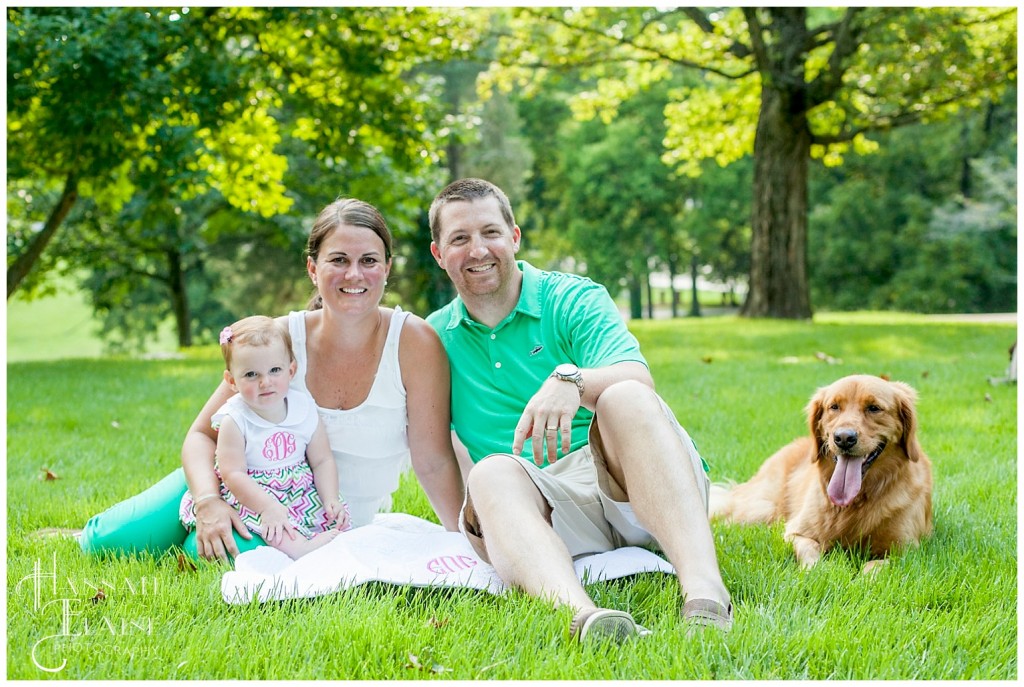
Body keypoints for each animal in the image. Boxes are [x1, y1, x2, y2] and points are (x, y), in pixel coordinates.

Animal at [708, 372, 933, 573]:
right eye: (834, 407)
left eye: (874, 408)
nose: (843, 438)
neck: (854, 502)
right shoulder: (795, 532)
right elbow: (810, 549)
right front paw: (818, 571)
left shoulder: (906, 551)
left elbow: (877, 566)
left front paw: (863, 579)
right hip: (760, 510)